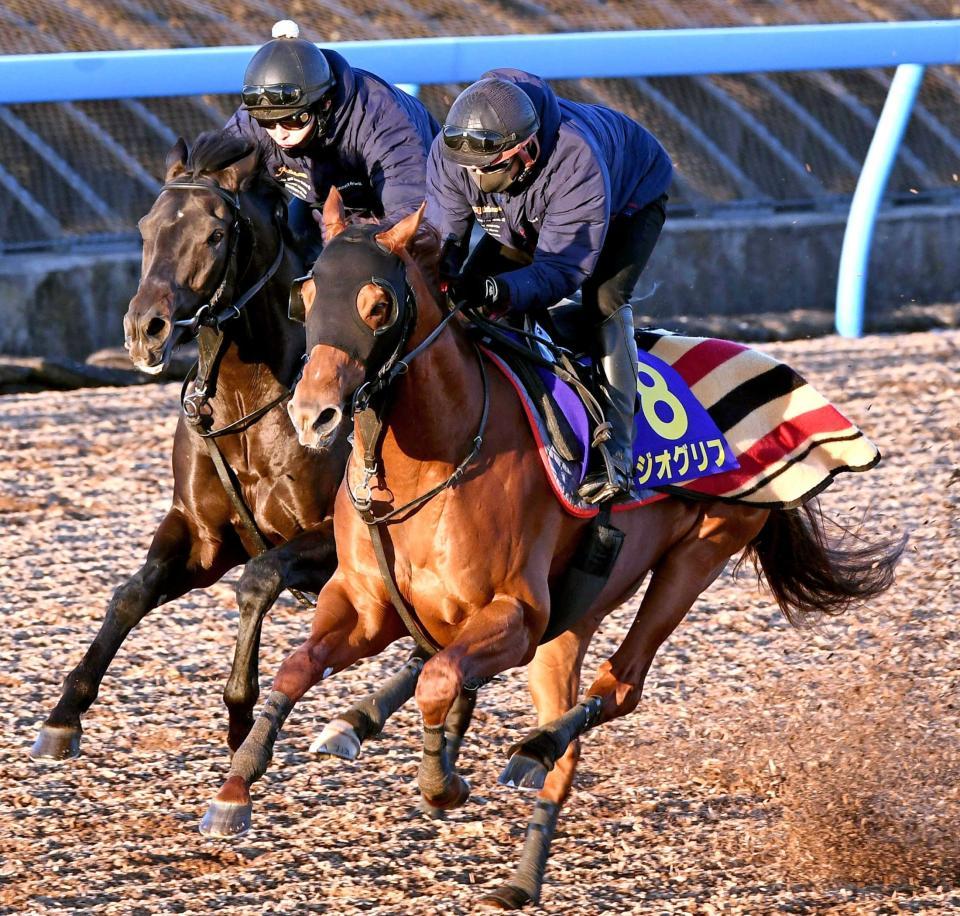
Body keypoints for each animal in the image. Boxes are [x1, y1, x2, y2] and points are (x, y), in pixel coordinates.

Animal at [29, 129, 352, 760]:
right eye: (146, 225)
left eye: (216, 233)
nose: (143, 328)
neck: (250, 404)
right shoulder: (203, 537)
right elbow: (131, 594)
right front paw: (63, 715)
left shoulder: (333, 538)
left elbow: (260, 580)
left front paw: (240, 717)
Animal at [199, 193, 904, 908]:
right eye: (308, 294)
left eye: (378, 304)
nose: (312, 414)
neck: (430, 462)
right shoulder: (367, 603)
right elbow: (300, 666)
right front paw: (235, 789)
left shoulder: (517, 611)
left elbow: (439, 679)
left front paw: (443, 780)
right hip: (576, 614)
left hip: (698, 552)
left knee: (615, 689)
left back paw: (529, 779)